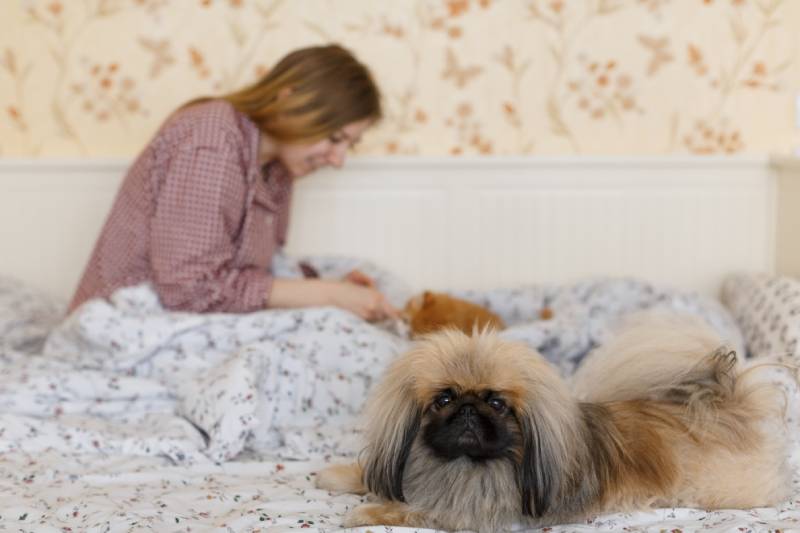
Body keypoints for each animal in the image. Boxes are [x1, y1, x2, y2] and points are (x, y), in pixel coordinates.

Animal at [316, 314, 792, 528]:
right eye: (444, 398)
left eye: (496, 402)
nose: (468, 408)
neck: (462, 466)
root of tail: (727, 402)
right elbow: (371, 475)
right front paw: (336, 476)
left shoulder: (472, 514)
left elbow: (413, 509)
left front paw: (366, 512)